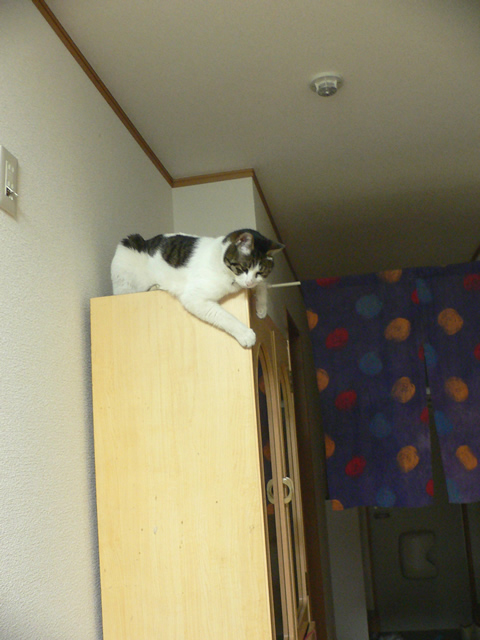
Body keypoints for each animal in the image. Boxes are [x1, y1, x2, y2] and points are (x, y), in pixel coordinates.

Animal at [111, 229, 284, 348]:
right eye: (243, 268)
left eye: (260, 272)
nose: (248, 284)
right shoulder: (195, 298)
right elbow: (224, 317)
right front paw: (246, 334)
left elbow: (262, 285)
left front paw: (261, 309)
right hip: (127, 251)